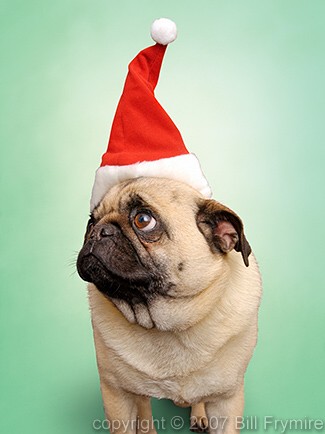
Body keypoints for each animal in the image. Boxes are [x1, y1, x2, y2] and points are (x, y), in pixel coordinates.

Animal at [76, 177, 260, 434]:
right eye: (90, 222)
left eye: (143, 220)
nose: (98, 231)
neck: (169, 326)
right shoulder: (117, 395)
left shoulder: (227, 401)